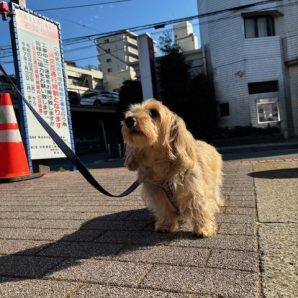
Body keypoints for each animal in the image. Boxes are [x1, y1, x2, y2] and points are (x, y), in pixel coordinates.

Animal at [121, 99, 224, 237]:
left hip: (213, 181)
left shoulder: (194, 190)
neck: (159, 162)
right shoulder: (157, 194)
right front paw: (165, 225)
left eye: (153, 112)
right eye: (132, 111)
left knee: (215, 192)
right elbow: (164, 210)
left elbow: (199, 208)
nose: (128, 120)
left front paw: (203, 228)